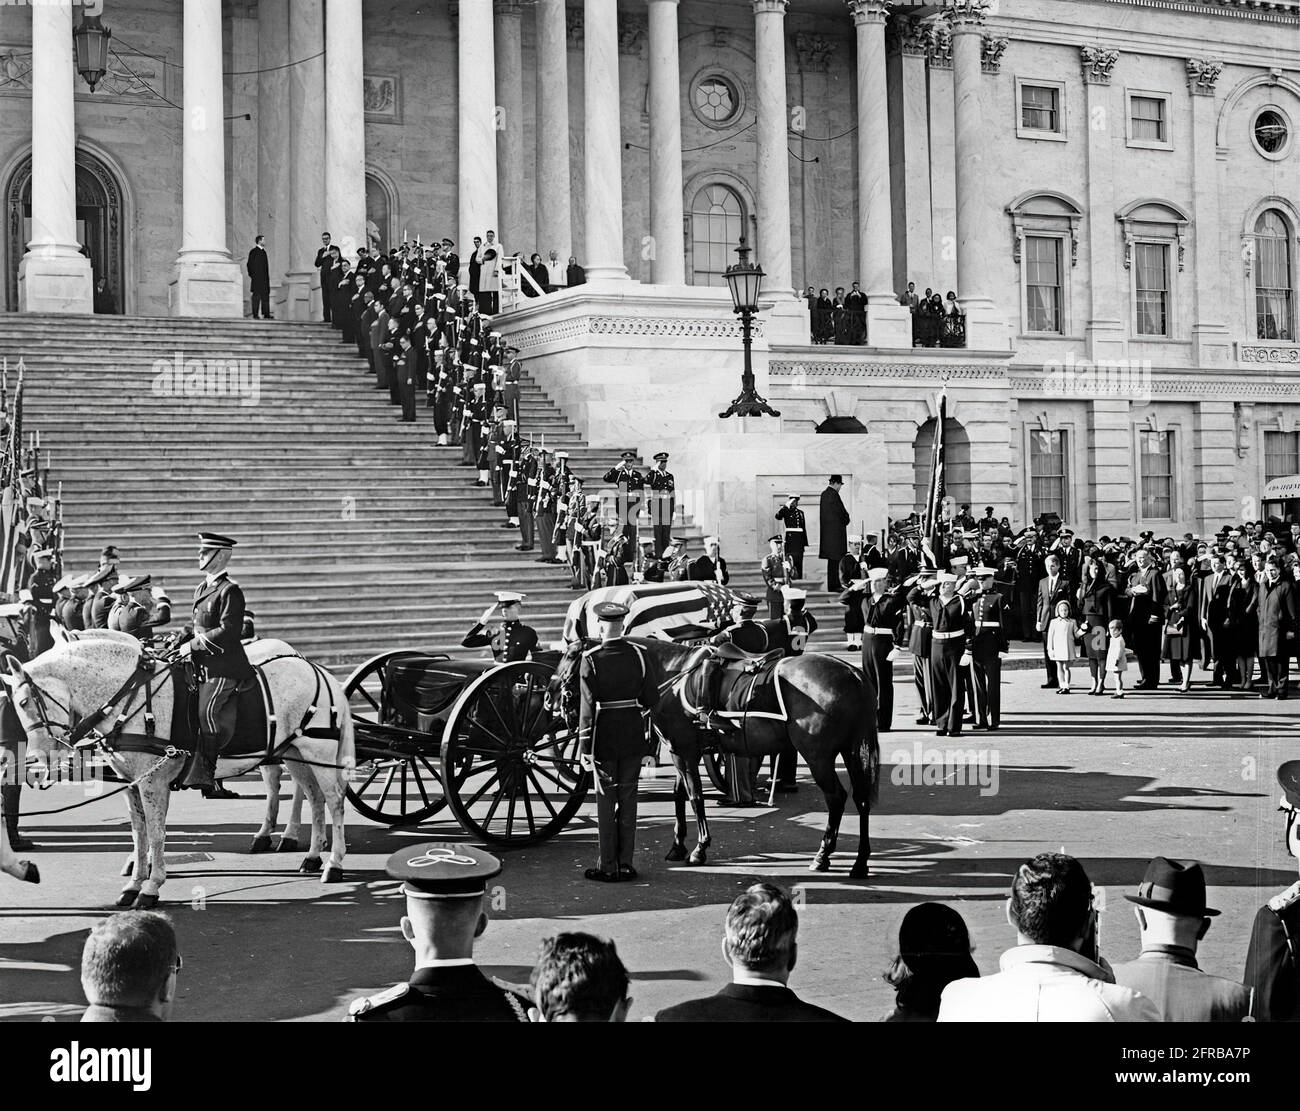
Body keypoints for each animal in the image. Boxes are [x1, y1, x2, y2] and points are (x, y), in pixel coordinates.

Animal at [5, 628, 356, 909]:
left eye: (23, 703)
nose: (34, 763)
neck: (131, 698)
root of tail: (315, 668)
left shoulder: (153, 783)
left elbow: (156, 834)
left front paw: (150, 887)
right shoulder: (132, 784)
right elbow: (139, 834)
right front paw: (134, 882)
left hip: (316, 753)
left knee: (334, 801)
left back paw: (333, 863)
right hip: (295, 753)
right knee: (313, 798)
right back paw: (310, 854)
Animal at [551, 639, 883, 883]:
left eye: (570, 655)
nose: (555, 698)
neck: (674, 675)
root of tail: (853, 673)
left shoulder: (682, 751)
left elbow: (695, 796)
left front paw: (699, 848)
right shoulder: (684, 750)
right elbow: (680, 795)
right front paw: (678, 845)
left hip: (818, 756)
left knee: (837, 798)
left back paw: (823, 855)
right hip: (851, 750)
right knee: (862, 799)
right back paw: (860, 862)